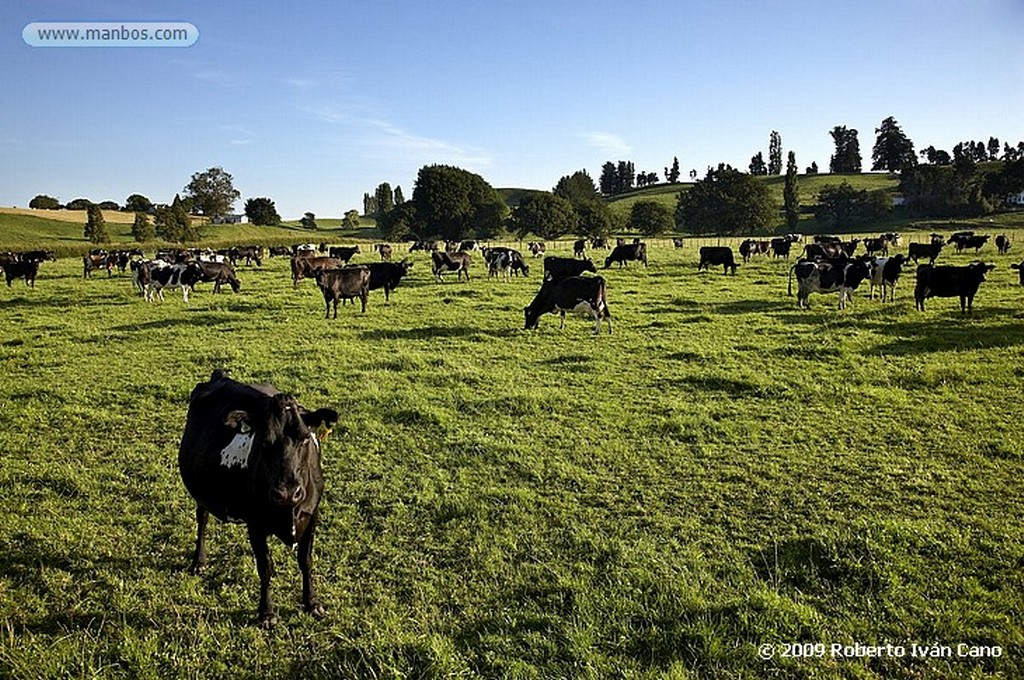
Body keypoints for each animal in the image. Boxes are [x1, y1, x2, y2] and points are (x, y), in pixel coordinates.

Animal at [176, 368, 335, 630]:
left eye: (305, 438)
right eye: (263, 441)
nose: (287, 493)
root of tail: (220, 375)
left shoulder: (312, 514)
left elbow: (306, 560)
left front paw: (312, 602)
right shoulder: (256, 523)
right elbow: (265, 567)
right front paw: (266, 613)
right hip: (201, 494)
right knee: (202, 520)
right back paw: (198, 561)